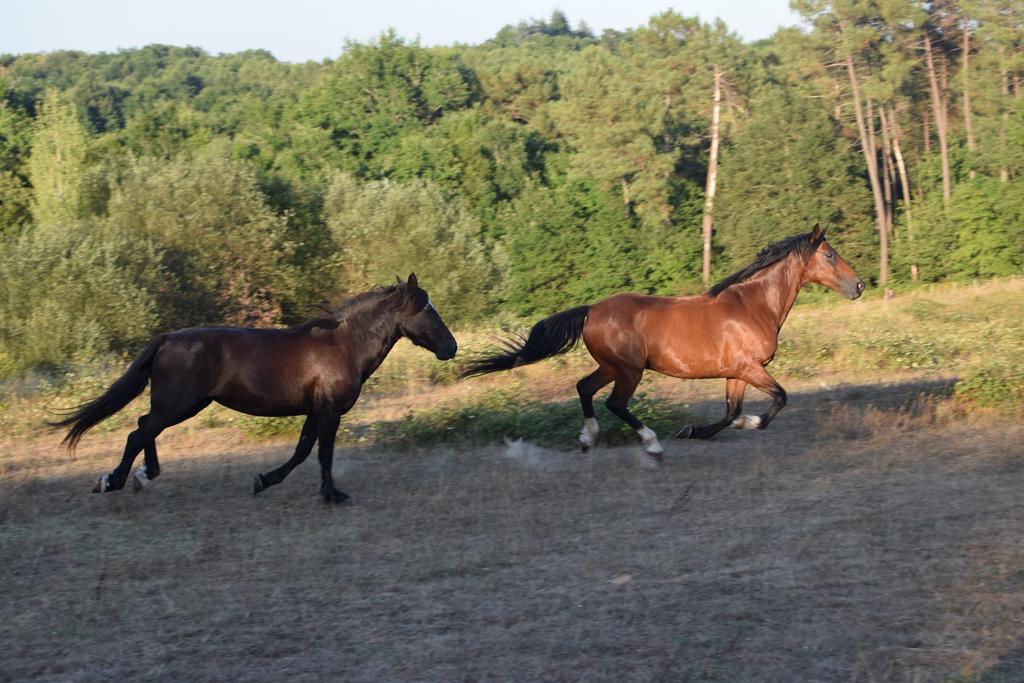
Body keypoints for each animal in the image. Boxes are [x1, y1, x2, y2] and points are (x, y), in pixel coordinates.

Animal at [54, 272, 456, 501]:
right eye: (427, 309)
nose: (451, 348)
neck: (343, 346)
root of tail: (166, 339)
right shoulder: (329, 412)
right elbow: (322, 454)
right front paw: (333, 494)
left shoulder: (314, 411)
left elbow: (301, 451)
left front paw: (263, 480)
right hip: (178, 405)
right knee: (138, 432)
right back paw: (112, 481)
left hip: (181, 405)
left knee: (142, 428)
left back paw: (142, 476)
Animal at [464, 228, 864, 458]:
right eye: (829, 254)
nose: (859, 285)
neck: (752, 305)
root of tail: (591, 310)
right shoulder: (750, 368)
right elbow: (778, 398)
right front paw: (747, 424)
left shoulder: (737, 372)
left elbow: (730, 411)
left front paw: (695, 431)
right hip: (629, 370)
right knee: (614, 403)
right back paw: (651, 443)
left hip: (611, 366)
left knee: (584, 389)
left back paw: (588, 439)